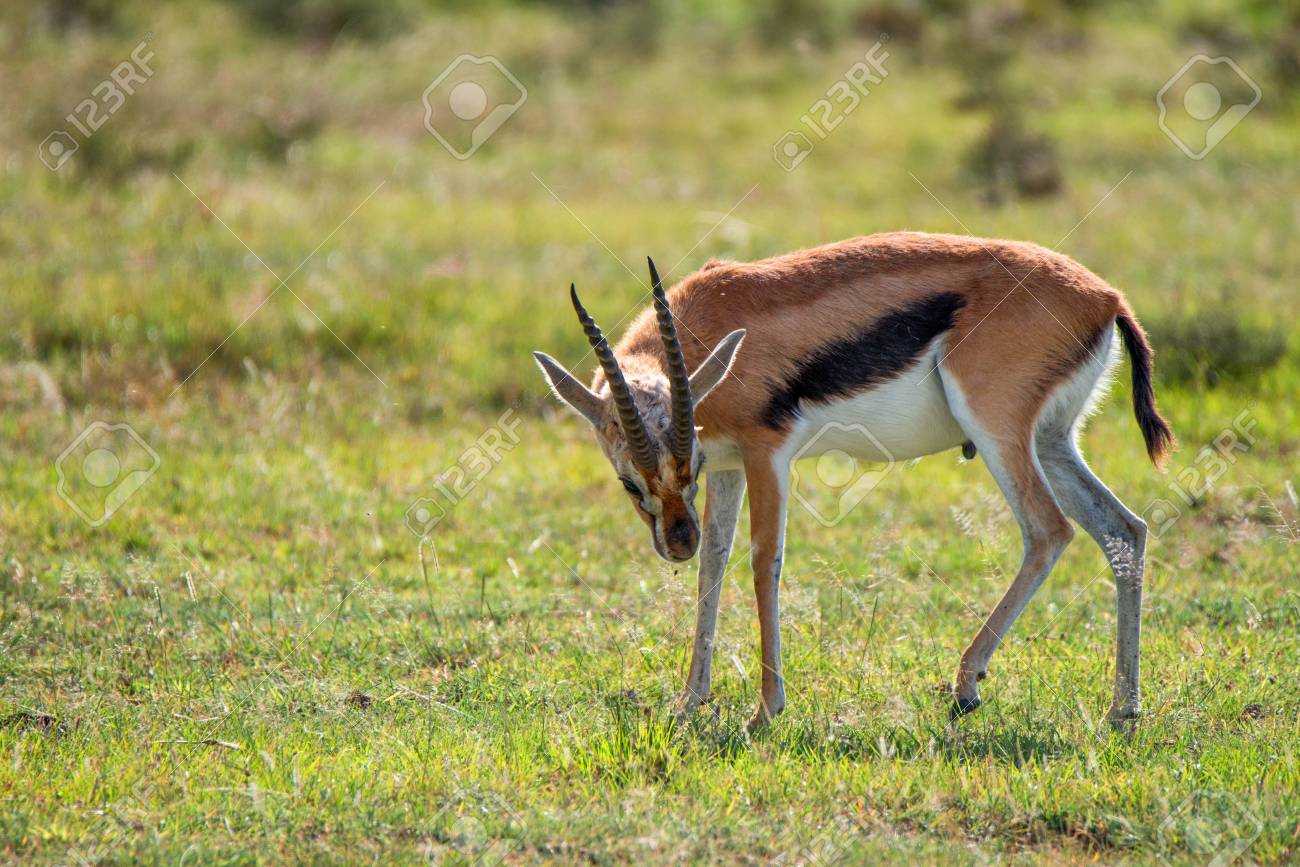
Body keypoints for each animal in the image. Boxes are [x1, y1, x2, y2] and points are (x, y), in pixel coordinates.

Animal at [534, 232, 1174, 731]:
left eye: (681, 468)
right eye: (630, 481)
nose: (675, 543)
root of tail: (1107, 298)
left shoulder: (767, 454)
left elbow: (763, 561)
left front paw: (766, 709)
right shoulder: (728, 467)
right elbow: (714, 562)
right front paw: (690, 699)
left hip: (997, 432)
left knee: (1048, 531)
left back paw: (966, 686)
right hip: (1052, 441)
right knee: (1124, 530)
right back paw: (1123, 709)